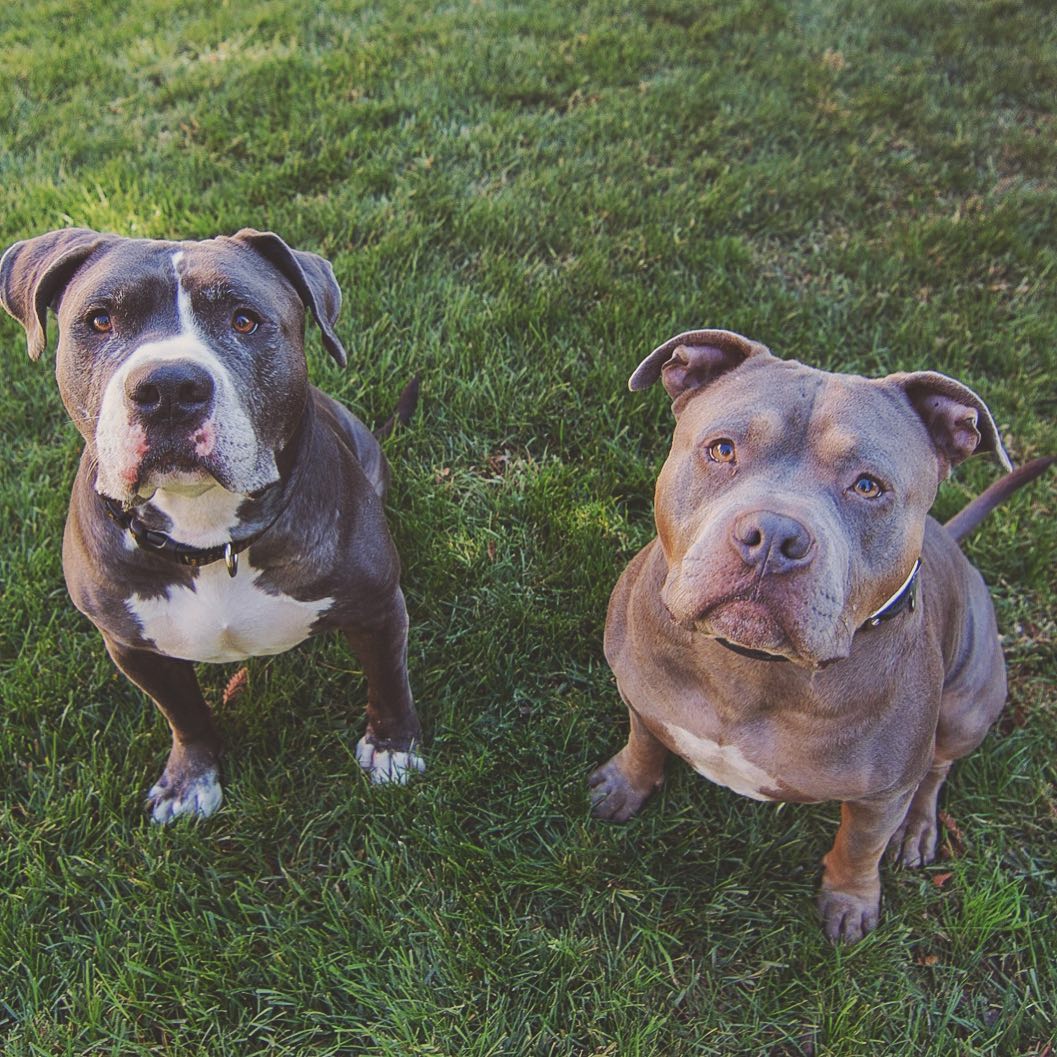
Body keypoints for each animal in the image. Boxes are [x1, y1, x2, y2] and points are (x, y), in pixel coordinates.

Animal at [4, 229, 424, 824]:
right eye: (101, 320)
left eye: (244, 320)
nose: (168, 387)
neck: (207, 532)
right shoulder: (132, 647)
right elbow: (184, 715)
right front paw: (188, 780)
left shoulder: (379, 608)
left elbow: (388, 680)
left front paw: (393, 749)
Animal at [591, 327, 1052, 942]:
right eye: (722, 449)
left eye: (868, 486)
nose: (773, 536)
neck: (751, 668)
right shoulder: (640, 695)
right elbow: (644, 740)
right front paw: (625, 785)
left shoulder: (882, 795)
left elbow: (859, 846)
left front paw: (851, 901)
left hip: (966, 707)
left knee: (936, 768)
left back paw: (917, 829)